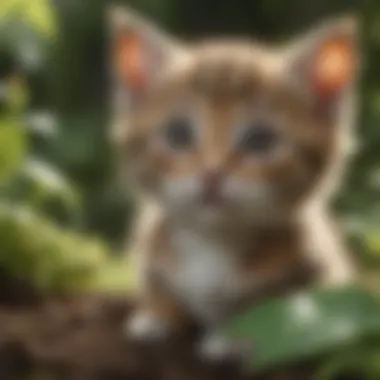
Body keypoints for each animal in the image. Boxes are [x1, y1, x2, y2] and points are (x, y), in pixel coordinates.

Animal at [107, 7, 360, 360]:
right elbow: (157, 285)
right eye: (178, 134)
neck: (213, 242)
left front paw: (234, 337)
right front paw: (156, 316)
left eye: (260, 140)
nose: (212, 174)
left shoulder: (324, 284)